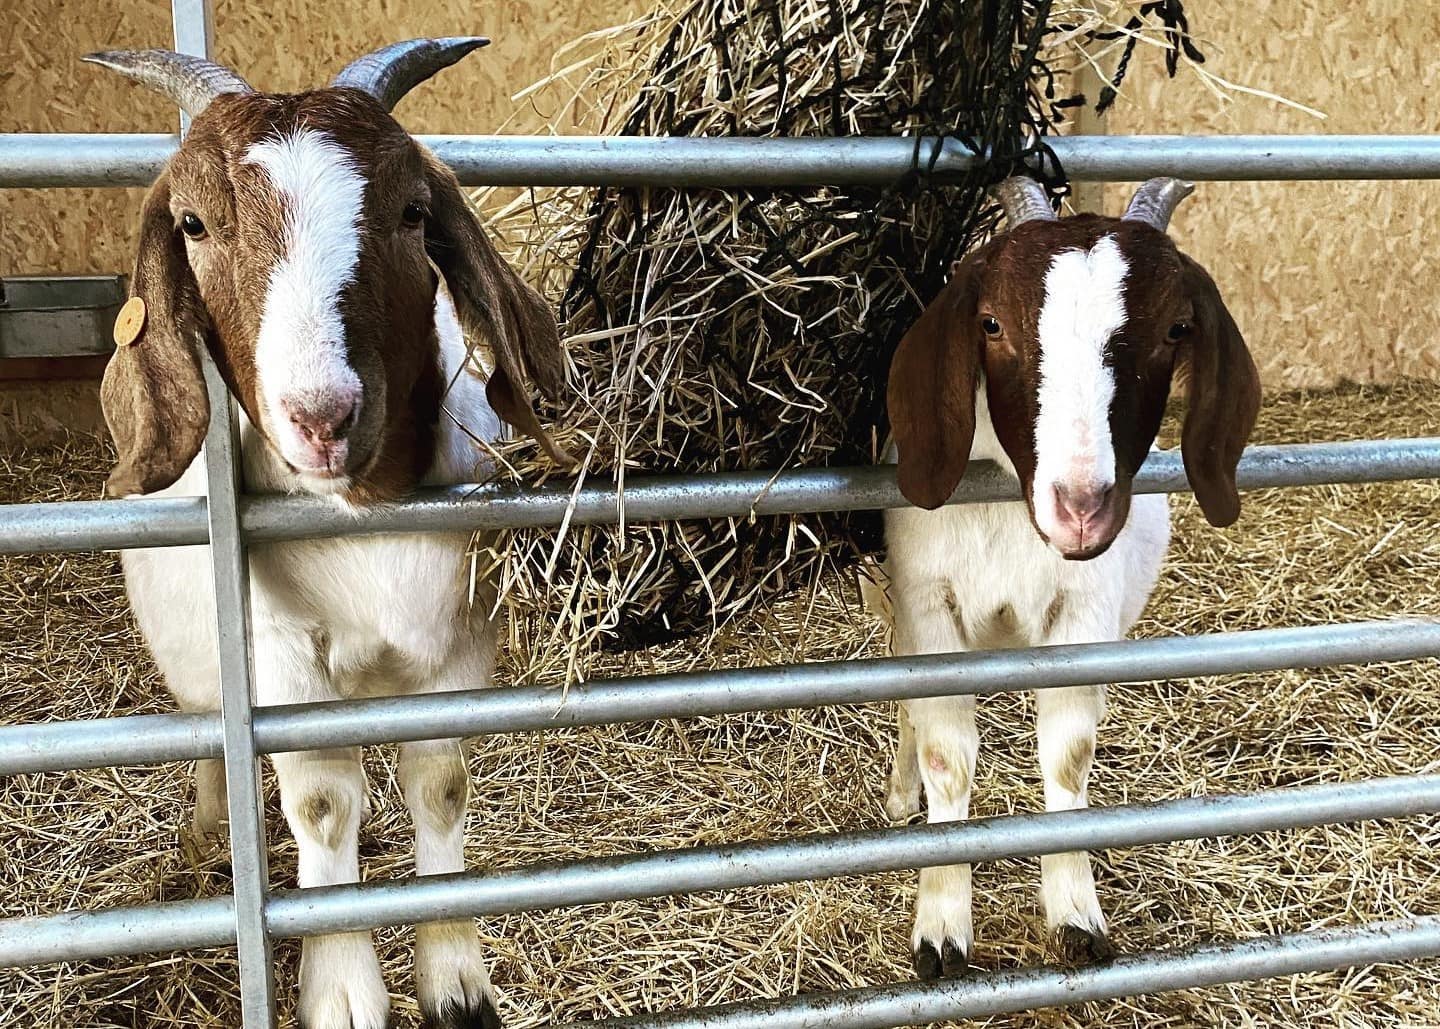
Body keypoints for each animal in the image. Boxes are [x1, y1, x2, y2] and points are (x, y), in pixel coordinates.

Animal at [81, 36, 558, 1024]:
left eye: (413, 211)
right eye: (192, 224)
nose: (323, 416)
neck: (360, 516)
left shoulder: (456, 645)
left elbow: (439, 783)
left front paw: (457, 983)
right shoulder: (280, 662)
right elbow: (324, 803)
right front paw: (343, 988)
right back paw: (213, 833)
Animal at [875, 179, 1261, 984]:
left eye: (1176, 328)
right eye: (992, 321)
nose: (1081, 508)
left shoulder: (1084, 616)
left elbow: (1067, 753)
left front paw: (1076, 917)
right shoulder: (930, 606)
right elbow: (945, 752)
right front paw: (941, 931)